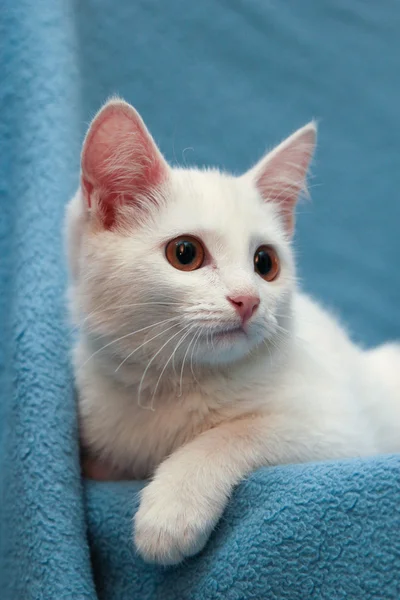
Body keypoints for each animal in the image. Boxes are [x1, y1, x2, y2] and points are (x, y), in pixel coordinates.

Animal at [66, 97, 400, 564]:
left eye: (265, 262)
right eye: (185, 253)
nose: (248, 299)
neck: (174, 381)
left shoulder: (340, 432)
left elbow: (239, 431)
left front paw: (173, 506)